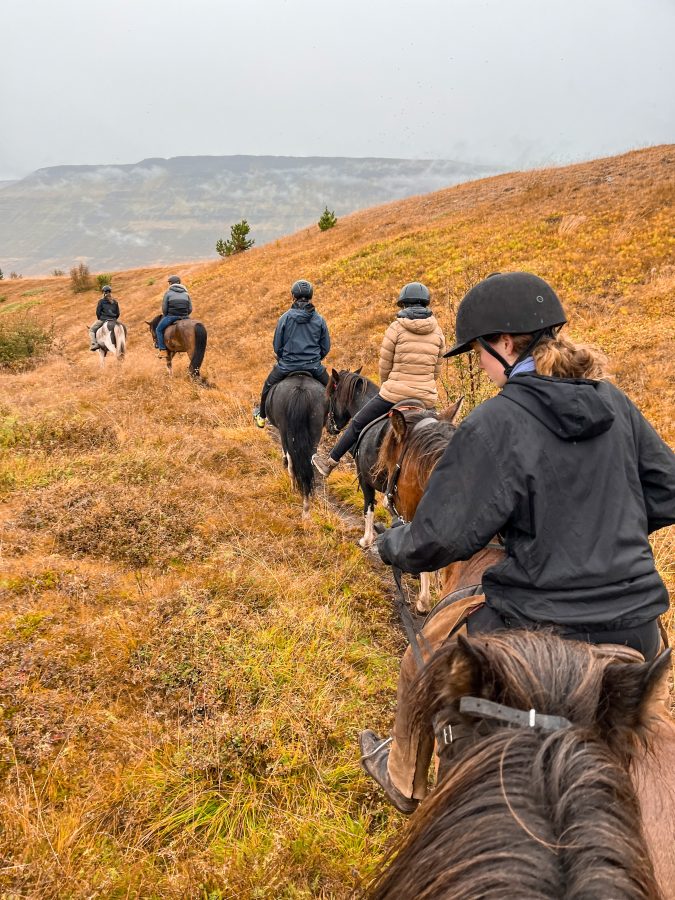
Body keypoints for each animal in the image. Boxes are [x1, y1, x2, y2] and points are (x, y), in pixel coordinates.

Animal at [266, 372, 328, 520]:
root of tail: (301, 390)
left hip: (284, 432)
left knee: (291, 463)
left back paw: (294, 489)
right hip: (315, 433)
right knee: (308, 464)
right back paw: (307, 502)